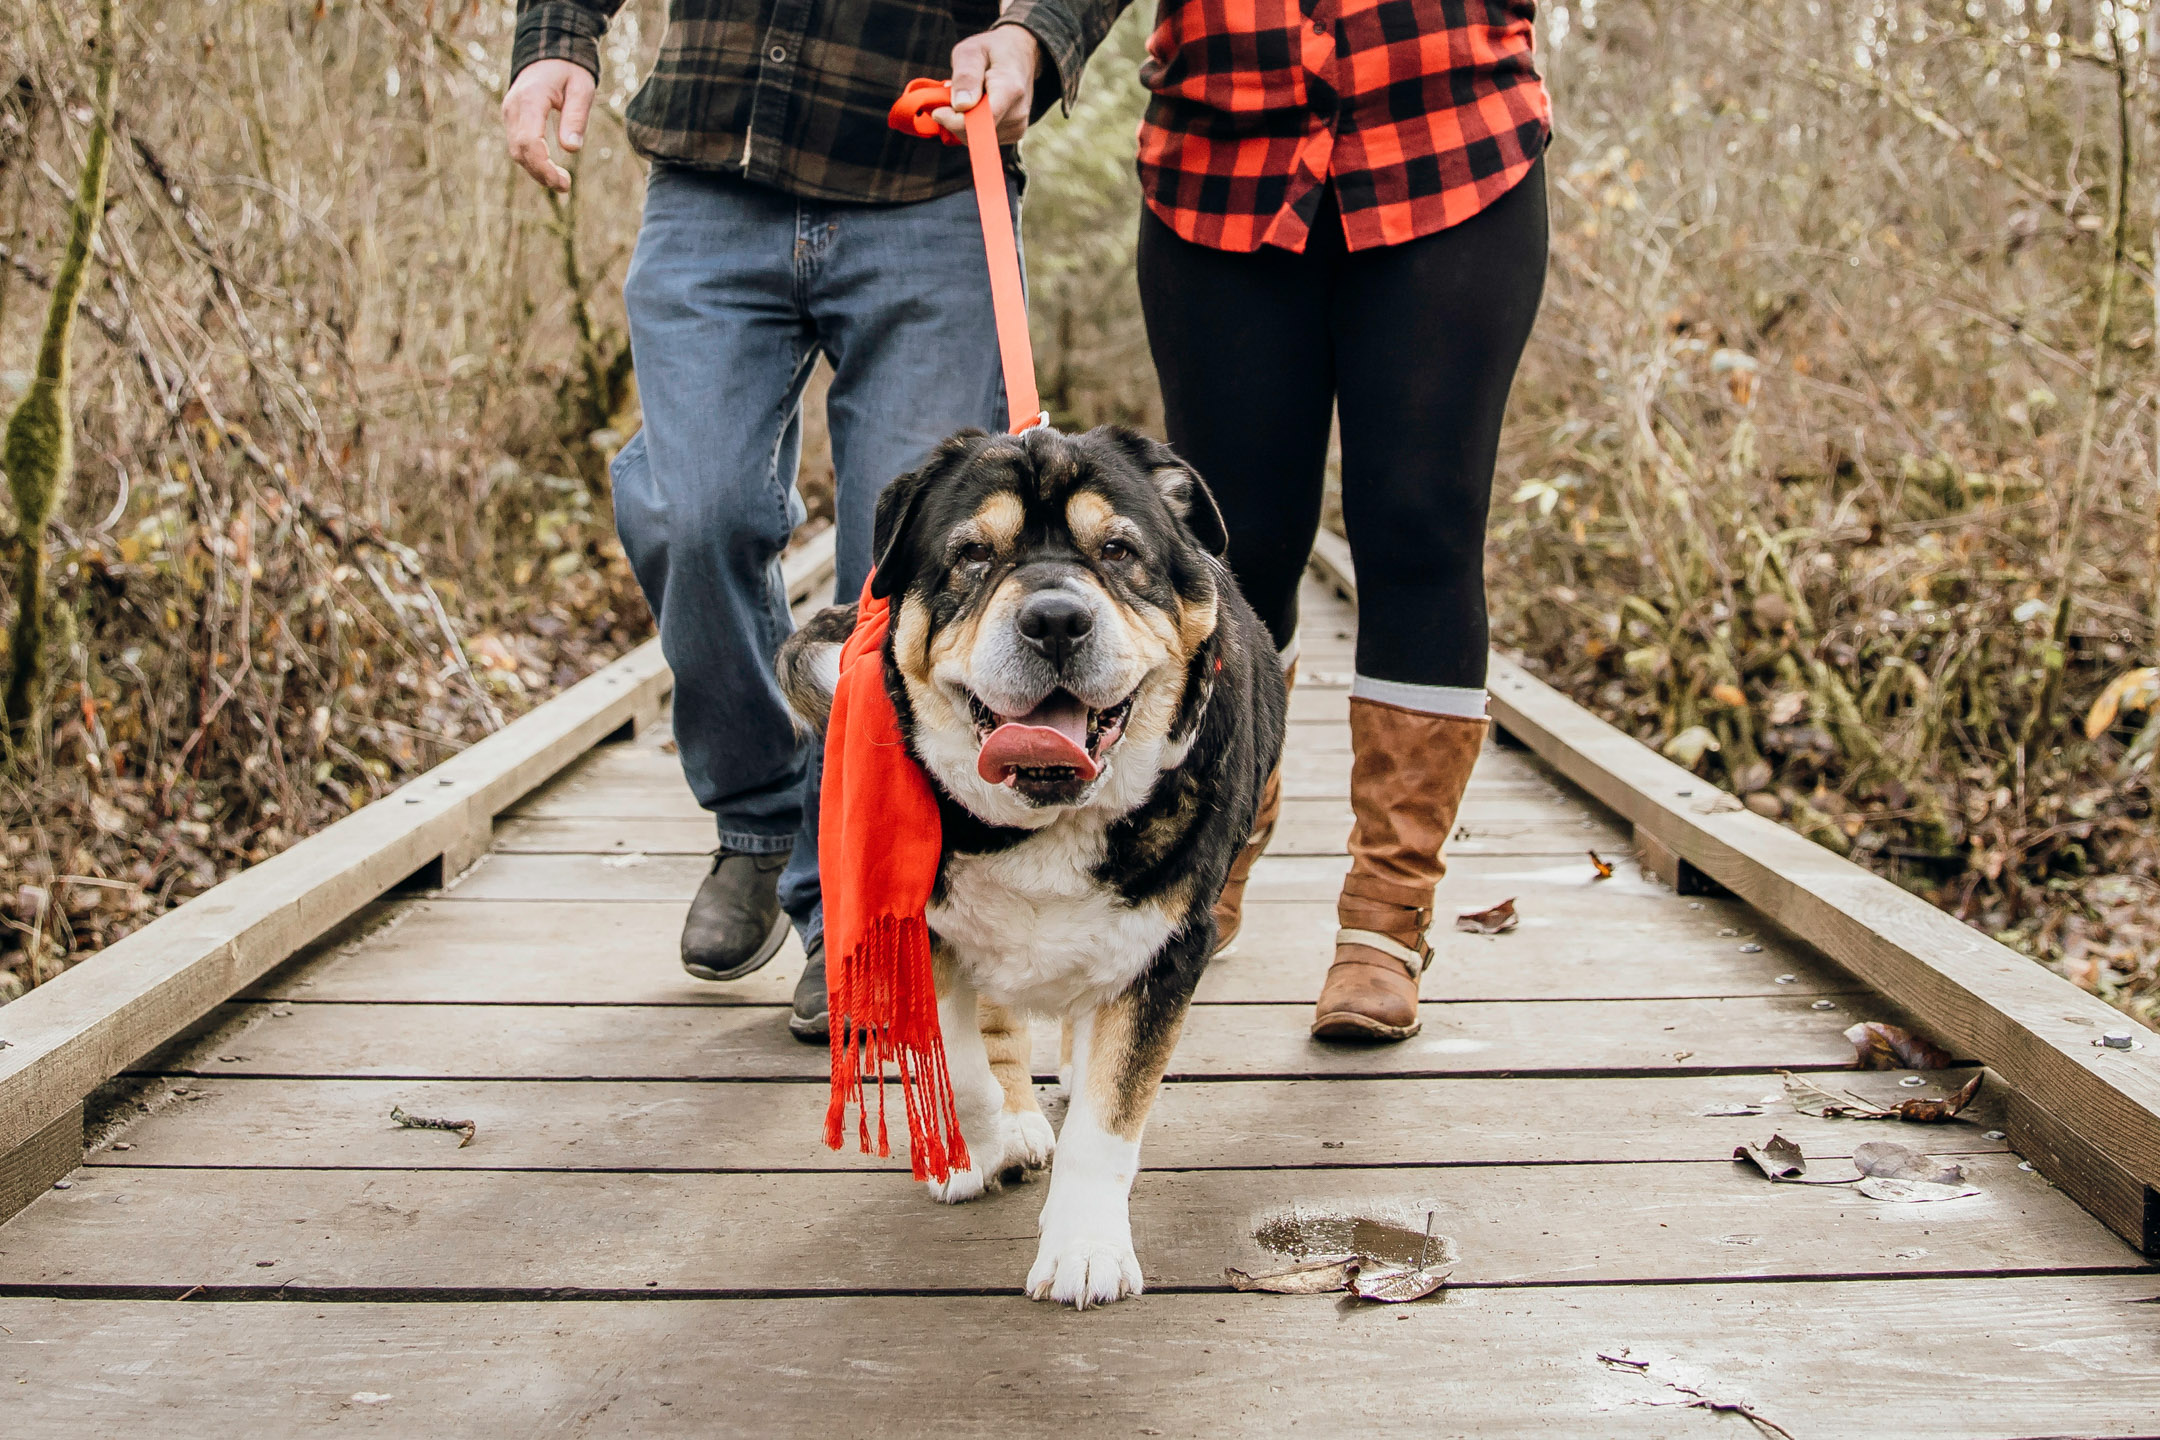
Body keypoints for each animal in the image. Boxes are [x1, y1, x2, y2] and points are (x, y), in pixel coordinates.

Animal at [777, 423, 1278, 1312]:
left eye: (1118, 550)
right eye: (974, 553)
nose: (1055, 619)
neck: (1047, 821)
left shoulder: (1166, 951)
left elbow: (1109, 1121)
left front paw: (1084, 1248)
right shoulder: (923, 930)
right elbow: (960, 1057)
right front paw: (987, 1145)